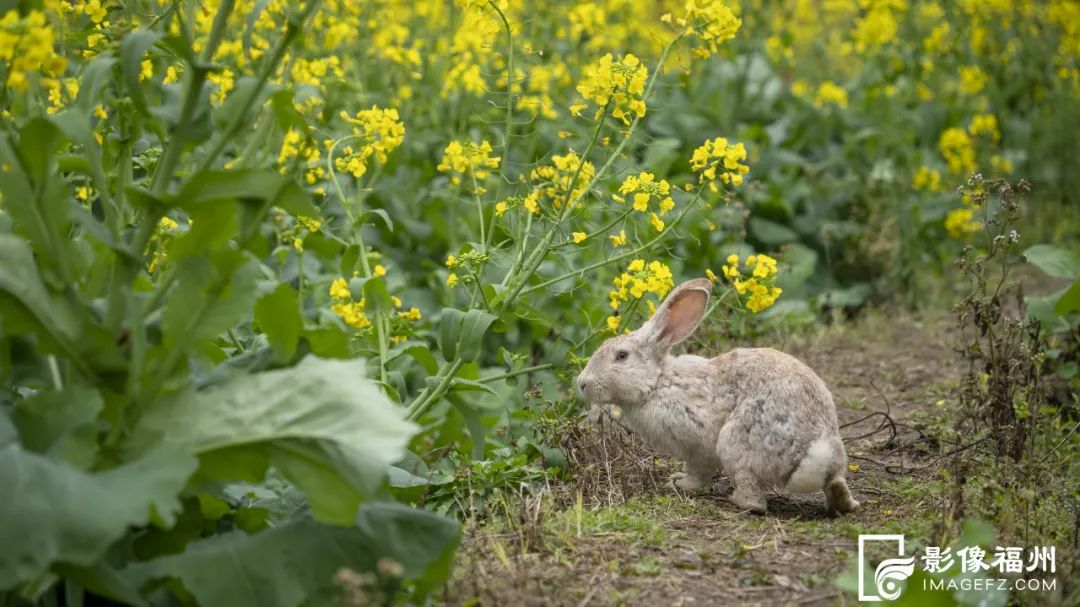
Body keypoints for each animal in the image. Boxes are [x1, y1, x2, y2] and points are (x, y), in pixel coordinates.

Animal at [578, 276, 855, 511]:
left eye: (621, 356)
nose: (581, 383)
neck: (657, 383)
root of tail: (810, 447)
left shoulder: (696, 443)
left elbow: (699, 470)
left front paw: (681, 483)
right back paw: (842, 502)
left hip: (737, 444)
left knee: (754, 498)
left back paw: (737, 500)